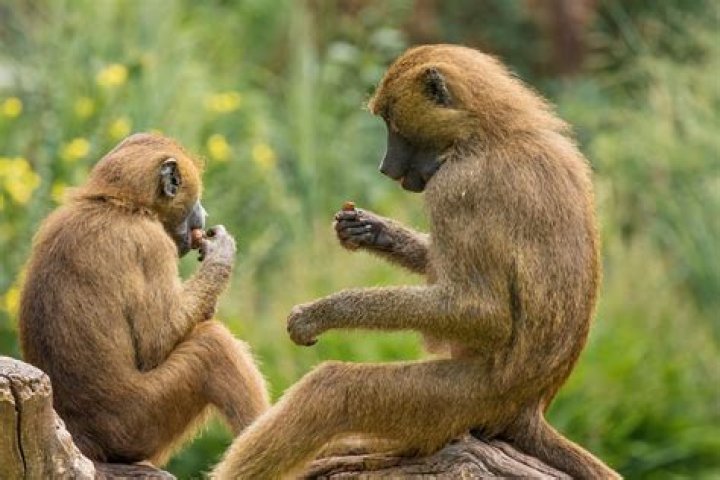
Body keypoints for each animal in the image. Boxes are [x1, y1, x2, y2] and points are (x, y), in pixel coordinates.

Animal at [18, 133, 269, 466]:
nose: (204, 215)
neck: (118, 204)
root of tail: (82, 439)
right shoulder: (152, 243)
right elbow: (155, 343)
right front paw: (220, 255)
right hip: (137, 422)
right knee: (212, 346)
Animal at [212, 45, 619, 479]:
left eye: (392, 122)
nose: (385, 168)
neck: (492, 133)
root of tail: (527, 408)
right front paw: (369, 229)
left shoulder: (456, 186)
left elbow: (482, 312)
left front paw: (321, 313)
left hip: (463, 399)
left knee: (332, 390)